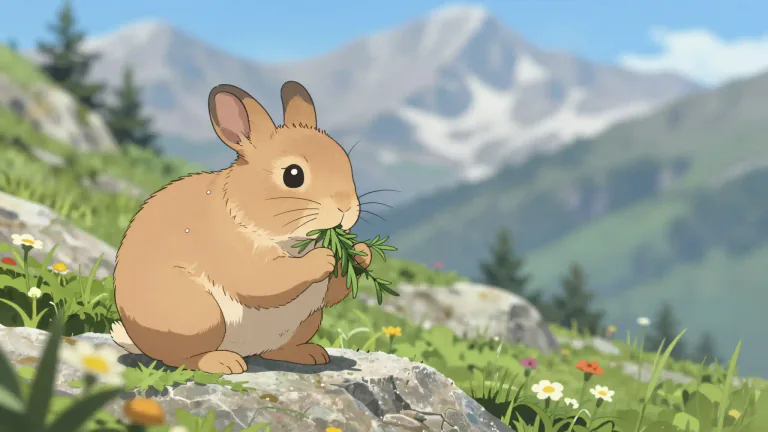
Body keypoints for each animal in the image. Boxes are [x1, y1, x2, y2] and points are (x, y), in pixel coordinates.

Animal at [109, 81, 372, 374]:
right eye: (293, 175)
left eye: (346, 163)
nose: (346, 208)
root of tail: (135, 339)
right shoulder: (236, 255)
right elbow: (266, 279)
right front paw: (323, 258)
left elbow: (335, 289)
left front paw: (362, 253)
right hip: (196, 314)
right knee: (180, 357)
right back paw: (224, 362)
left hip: (307, 320)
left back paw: (310, 353)